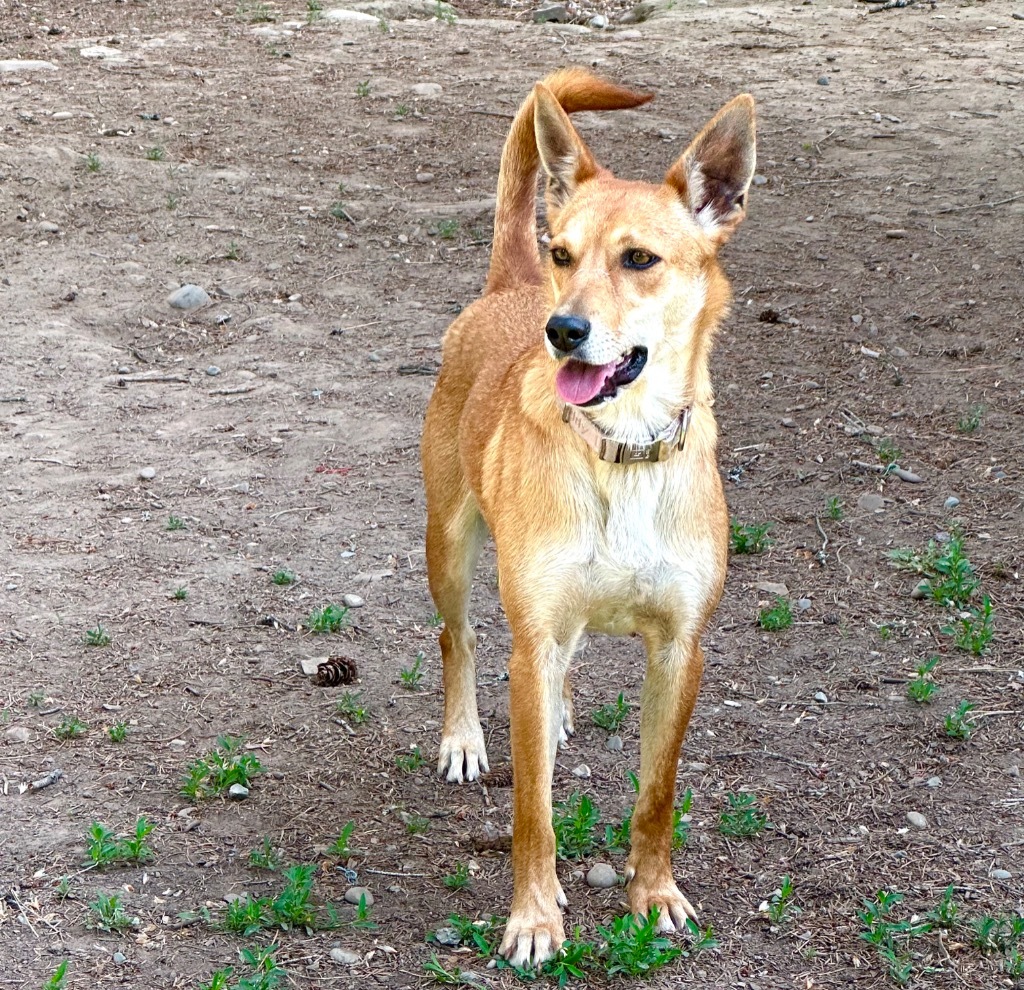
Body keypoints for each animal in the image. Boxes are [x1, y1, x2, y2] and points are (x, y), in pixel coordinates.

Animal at [419, 69, 757, 966]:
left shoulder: (679, 651)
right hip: (449, 544)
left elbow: (657, 793)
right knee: (459, 639)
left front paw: (655, 896)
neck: (621, 454)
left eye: (639, 258)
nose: (562, 328)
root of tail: (509, 288)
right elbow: (533, 811)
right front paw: (536, 920)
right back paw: (464, 739)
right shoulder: (531, 641)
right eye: (564, 253)